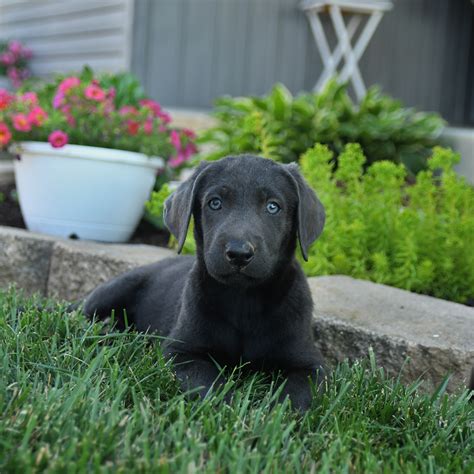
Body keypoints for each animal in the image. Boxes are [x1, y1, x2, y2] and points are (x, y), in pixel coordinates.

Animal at [82, 156, 326, 412]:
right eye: (215, 203)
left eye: (273, 207)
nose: (239, 253)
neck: (244, 299)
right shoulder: (181, 352)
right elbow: (207, 382)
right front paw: (230, 408)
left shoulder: (311, 364)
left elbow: (296, 395)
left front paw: (271, 414)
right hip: (117, 287)